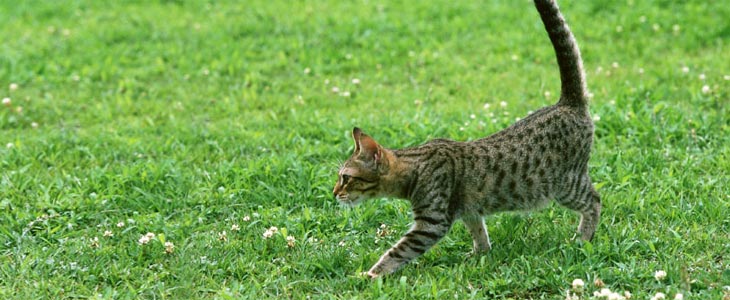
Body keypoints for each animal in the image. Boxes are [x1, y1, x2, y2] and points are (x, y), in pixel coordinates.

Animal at [332, 0, 600, 278]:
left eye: (346, 178)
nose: (334, 193)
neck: (415, 167)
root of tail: (567, 103)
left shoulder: (432, 223)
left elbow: (397, 252)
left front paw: (370, 276)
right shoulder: (469, 210)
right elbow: (479, 233)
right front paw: (479, 255)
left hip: (567, 184)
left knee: (595, 201)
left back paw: (583, 239)